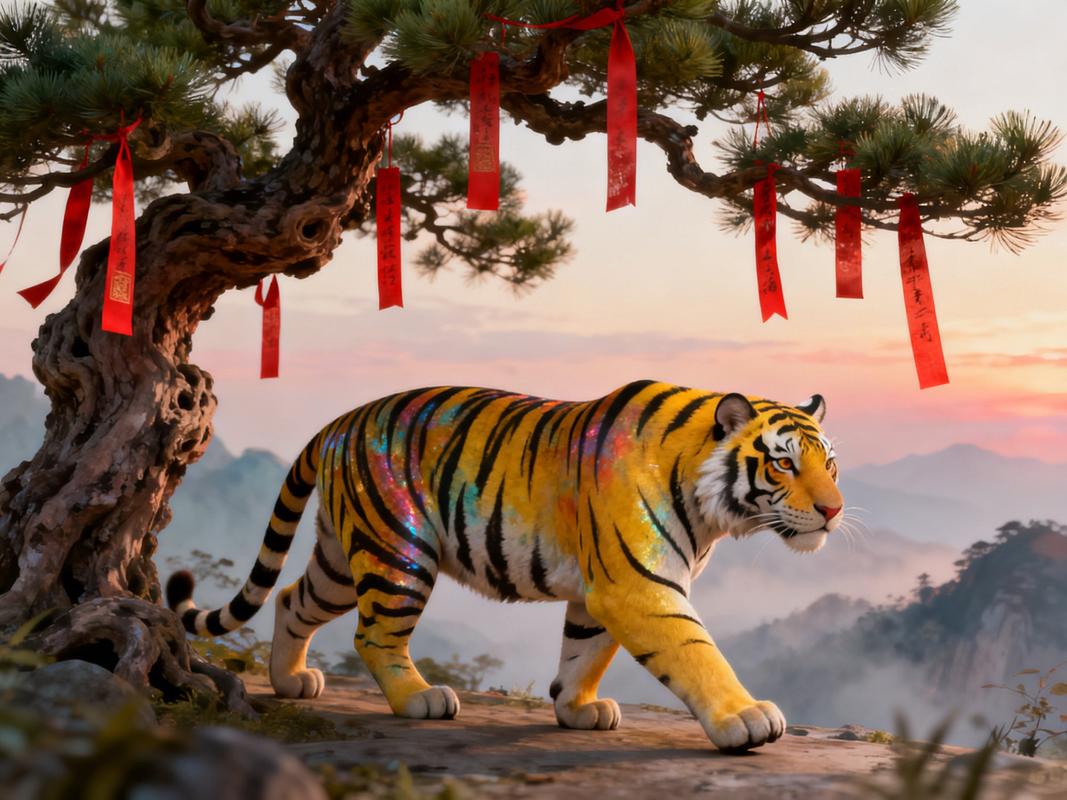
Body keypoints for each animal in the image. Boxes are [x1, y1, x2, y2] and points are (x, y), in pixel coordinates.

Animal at [167, 380, 844, 752]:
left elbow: (584, 651)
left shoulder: (602, 589)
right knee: (374, 634)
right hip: (398, 549)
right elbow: (696, 652)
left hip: (341, 555)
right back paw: (420, 699)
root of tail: (338, 421)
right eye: (784, 463)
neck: (711, 509)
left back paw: (289, 681)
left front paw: (577, 709)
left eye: (829, 463)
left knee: (290, 599)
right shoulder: (639, 584)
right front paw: (745, 717)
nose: (834, 510)